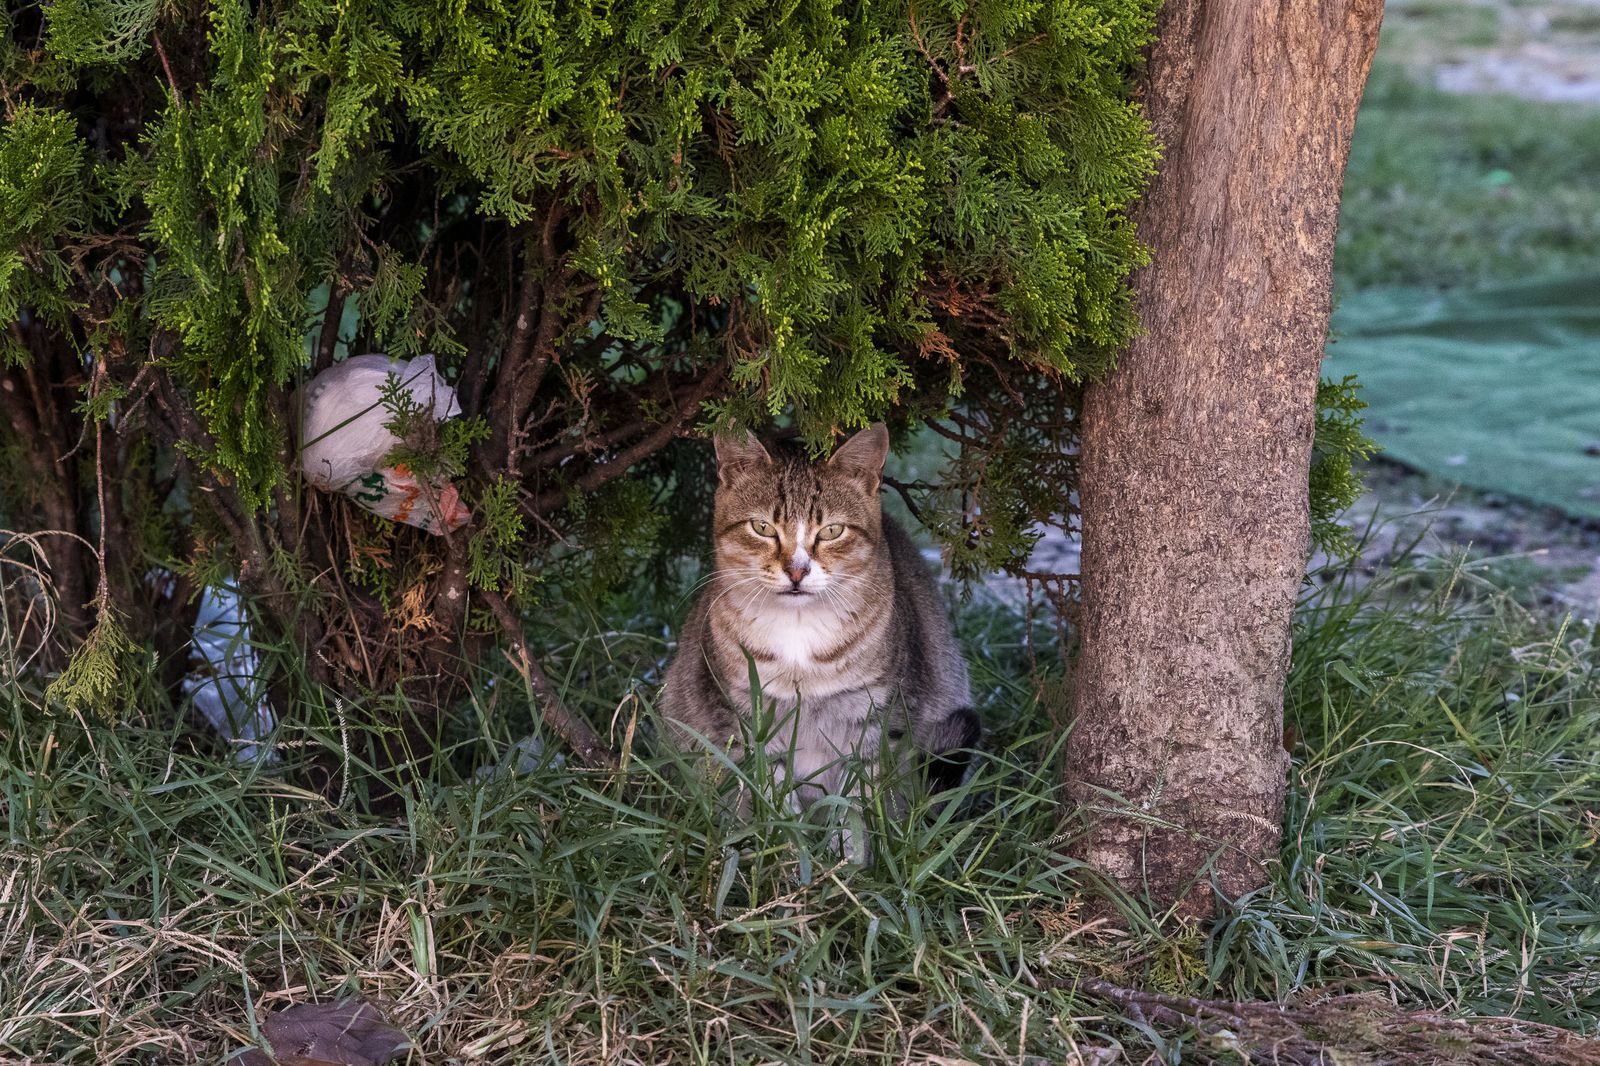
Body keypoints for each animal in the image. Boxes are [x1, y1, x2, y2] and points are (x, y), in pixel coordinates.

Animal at [659, 422, 979, 806]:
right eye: (762, 527)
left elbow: (858, 802)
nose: (797, 571)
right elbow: (774, 798)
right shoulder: (751, 719)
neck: (799, 637)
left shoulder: (876, 718)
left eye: (831, 531)